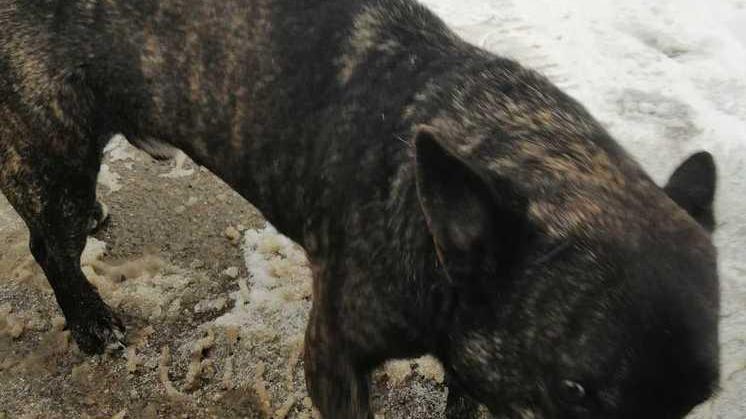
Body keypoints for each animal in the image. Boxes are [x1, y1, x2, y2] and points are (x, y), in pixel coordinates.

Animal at [0, 0, 719, 418]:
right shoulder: (335, 355)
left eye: (700, 400)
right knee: (50, 243)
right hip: (55, 151)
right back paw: (91, 321)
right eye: (573, 392)